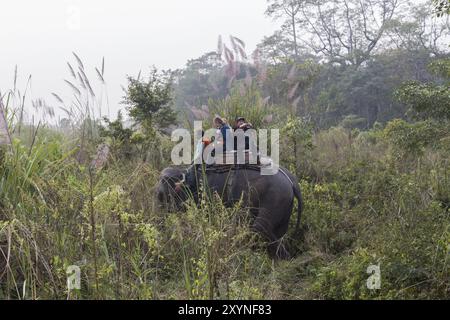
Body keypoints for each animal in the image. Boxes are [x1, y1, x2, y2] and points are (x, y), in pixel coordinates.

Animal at [154, 164, 302, 258]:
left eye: (161, 196)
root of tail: (292, 182)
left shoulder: (209, 193)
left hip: (275, 198)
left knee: (260, 228)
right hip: (284, 206)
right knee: (278, 233)